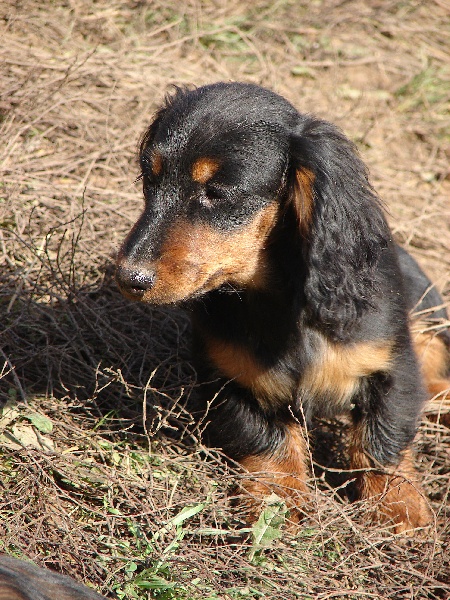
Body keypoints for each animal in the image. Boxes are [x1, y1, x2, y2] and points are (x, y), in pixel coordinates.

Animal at [115, 82, 450, 533]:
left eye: (216, 193)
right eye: (149, 179)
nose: (129, 278)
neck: (280, 301)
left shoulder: (393, 364)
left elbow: (382, 436)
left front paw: (398, 506)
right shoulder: (231, 376)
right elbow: (265, 436)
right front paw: (279, 496)